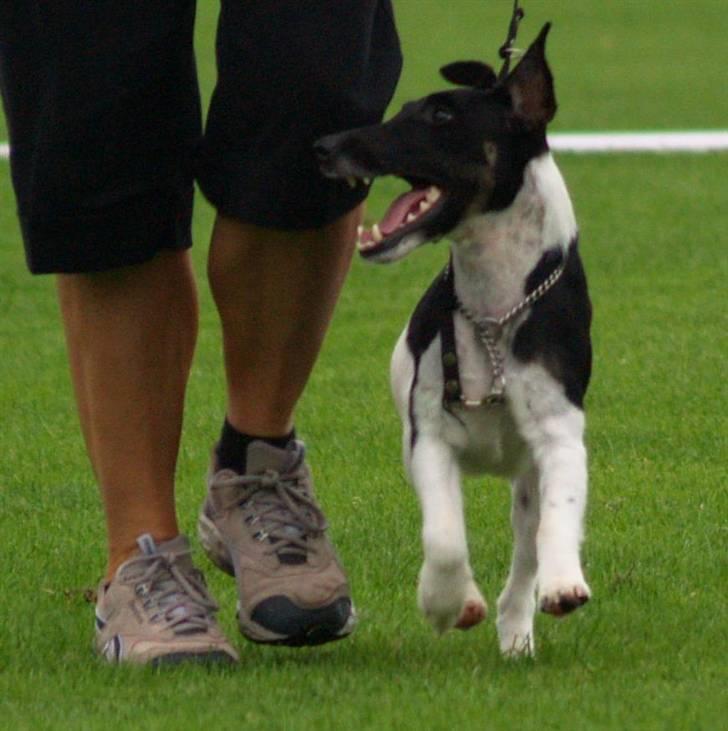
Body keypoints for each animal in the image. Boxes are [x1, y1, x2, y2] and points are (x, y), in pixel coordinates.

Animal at [318, 22, 592, 656]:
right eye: (402, 109)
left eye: (442, 115)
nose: (325, 145)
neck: (494, 311)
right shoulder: (429, 438)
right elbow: (444, 538)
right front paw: (447, 603)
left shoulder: (560, 432)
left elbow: (559, 516)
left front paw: (563, 582)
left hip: (525, 476)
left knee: (526, 546)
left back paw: (516, 629)